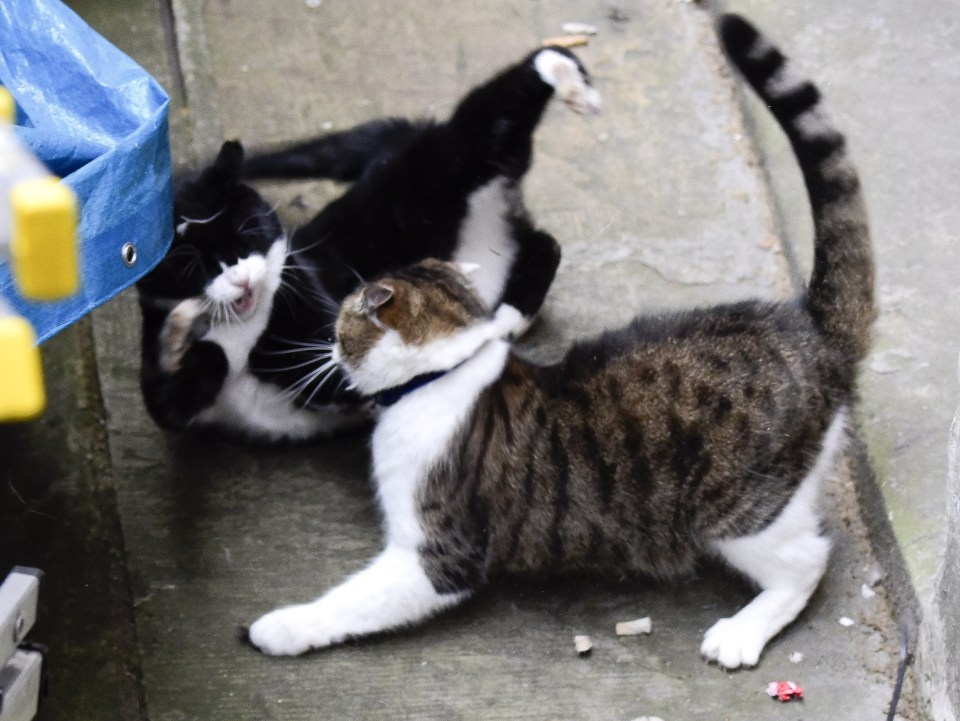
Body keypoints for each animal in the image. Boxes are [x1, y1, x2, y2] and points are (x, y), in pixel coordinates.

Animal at [135, 45, 600, 442]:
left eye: (248, 237)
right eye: (195, 267)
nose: (241, 279)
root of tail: (401, 139)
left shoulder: (327, 333)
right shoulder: (178, 407)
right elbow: (179, 384)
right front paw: (183, 330)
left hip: (451, 162)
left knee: (487, 117)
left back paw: (568, 79)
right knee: (545, 243)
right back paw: (501, 318)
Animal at [249, 15, 876, 668]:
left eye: (344, 321)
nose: (326, 345)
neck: (444, 374)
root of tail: (806, 324)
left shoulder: (441, 553)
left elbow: (353, 600)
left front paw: (282, 627)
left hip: (738, 507)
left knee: (807, 561)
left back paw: (742, 632)